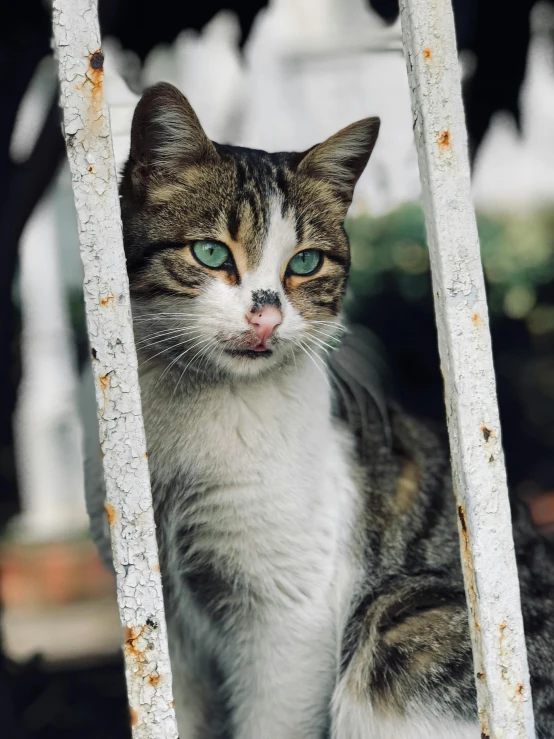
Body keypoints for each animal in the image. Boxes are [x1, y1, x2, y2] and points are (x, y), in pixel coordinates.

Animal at [83, 82, 552, 739]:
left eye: (305, 263)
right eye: (210, 252)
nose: (266, 318)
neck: (191, 410)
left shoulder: (288, 616)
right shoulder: (164, 620)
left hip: (396, 619)